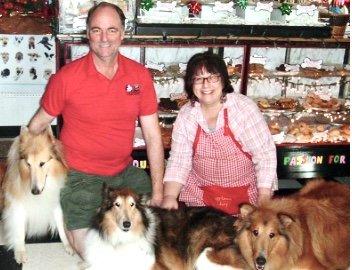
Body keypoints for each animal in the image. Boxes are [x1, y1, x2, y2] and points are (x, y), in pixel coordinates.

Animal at [0, 126, 73, 264]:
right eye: (28, 164)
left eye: (42, 163)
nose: (34, 192)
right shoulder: (17, 208)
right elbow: (19, 231)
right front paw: (20, 252)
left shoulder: (55, 203)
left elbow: (60, 225)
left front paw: (68, 246)